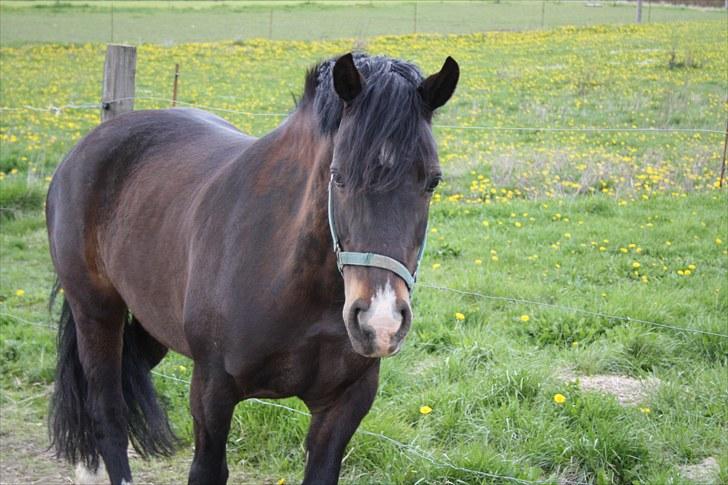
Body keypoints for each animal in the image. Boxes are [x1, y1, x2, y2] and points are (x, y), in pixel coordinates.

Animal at [45, 53, 458, 484]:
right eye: (339, 176)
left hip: (149, 323)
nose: (380, 322)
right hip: (96, 313)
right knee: (108, 411)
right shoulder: (212, 394)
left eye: (432, 181)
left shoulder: (344, 405)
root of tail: (87, 145)